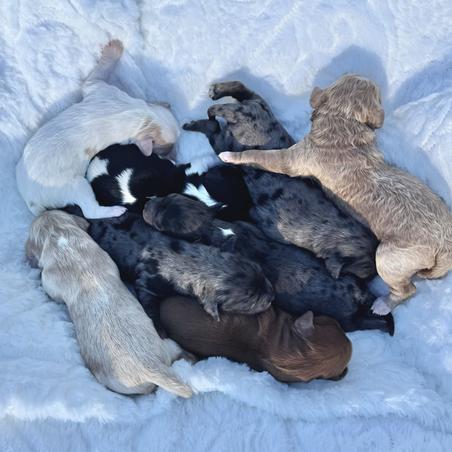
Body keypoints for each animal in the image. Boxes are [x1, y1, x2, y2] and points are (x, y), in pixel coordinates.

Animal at [16, 40, 180, 219]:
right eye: (165, 149)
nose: (174, 157)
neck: (141, 115)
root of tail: (32, 201)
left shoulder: (102, 90)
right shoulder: (101, 89)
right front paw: (115, 49)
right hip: (75, 186)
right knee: (90, 211)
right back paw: (116, 210)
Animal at [143, 194, 394, 334]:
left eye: (161, 223)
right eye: (168, 196)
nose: (146, 206)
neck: (214, 227)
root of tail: (356, 294)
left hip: (346, 319)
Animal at [184, 81, 378, 279]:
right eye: (365, 274)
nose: (369, 282)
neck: (335, 231)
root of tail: (243, 113)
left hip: (256, 109)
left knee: (242, 91)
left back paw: (215, 93)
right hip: (226, 142)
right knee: (215, 125)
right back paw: (199, 119)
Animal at [219, 75, 452, 314]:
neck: (344, 124)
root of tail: (445, 247)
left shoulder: (291, 160)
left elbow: (258, 155)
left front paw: (231, 155)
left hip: (389, 259)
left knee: (407, 289)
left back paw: (383, 305)